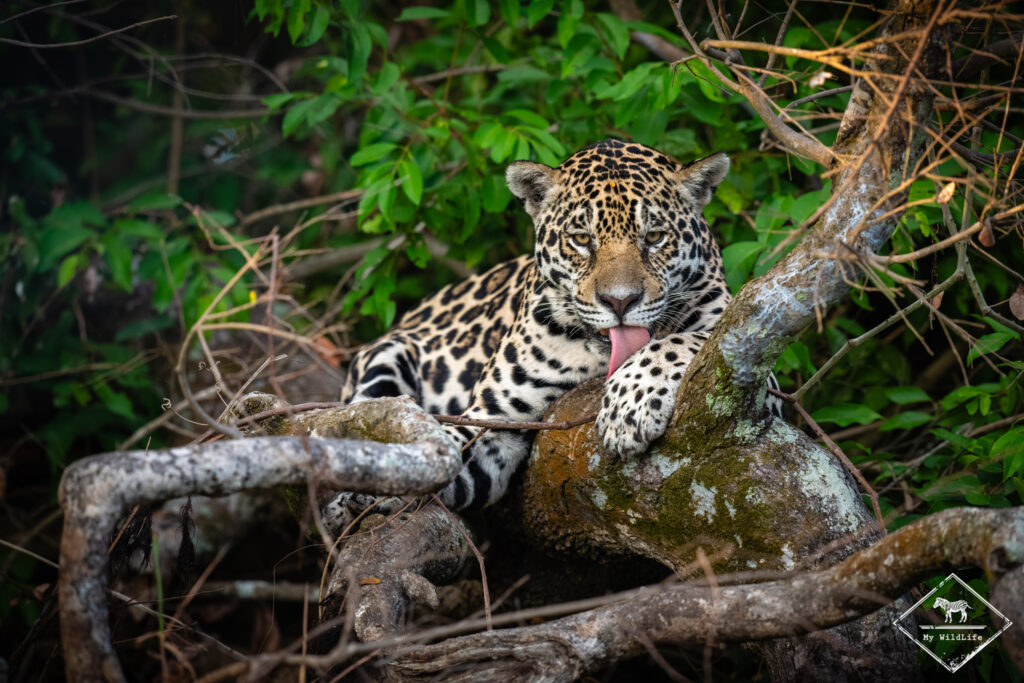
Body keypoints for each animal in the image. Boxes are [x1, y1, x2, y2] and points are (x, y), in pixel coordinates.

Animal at [324, 138, 783, 534]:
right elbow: (448, 450)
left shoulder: (762, 377)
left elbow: (691, 340)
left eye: (654, 237)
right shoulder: (492, 421)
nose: (620, 301)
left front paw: (628, 406)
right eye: (581, 239)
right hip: (385, 352)